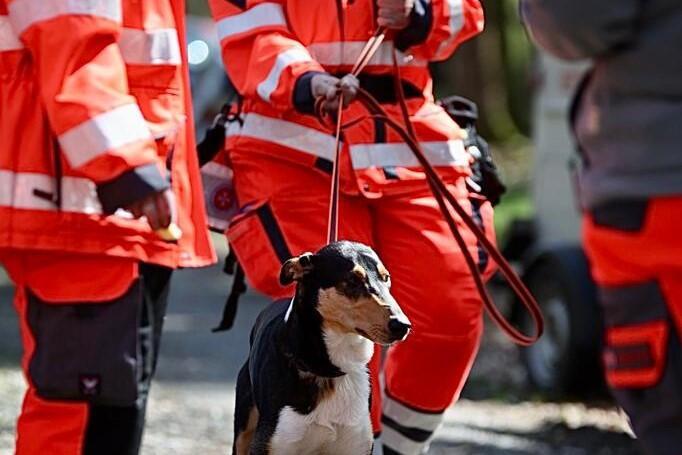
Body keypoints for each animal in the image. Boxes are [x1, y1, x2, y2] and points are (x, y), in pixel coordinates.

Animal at [232, 241, 411, 455]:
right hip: (243, 432)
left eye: (386, 278)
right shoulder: (274, 443)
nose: (402, 325)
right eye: (352, 280)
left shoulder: (356, 445)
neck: (331, 370)